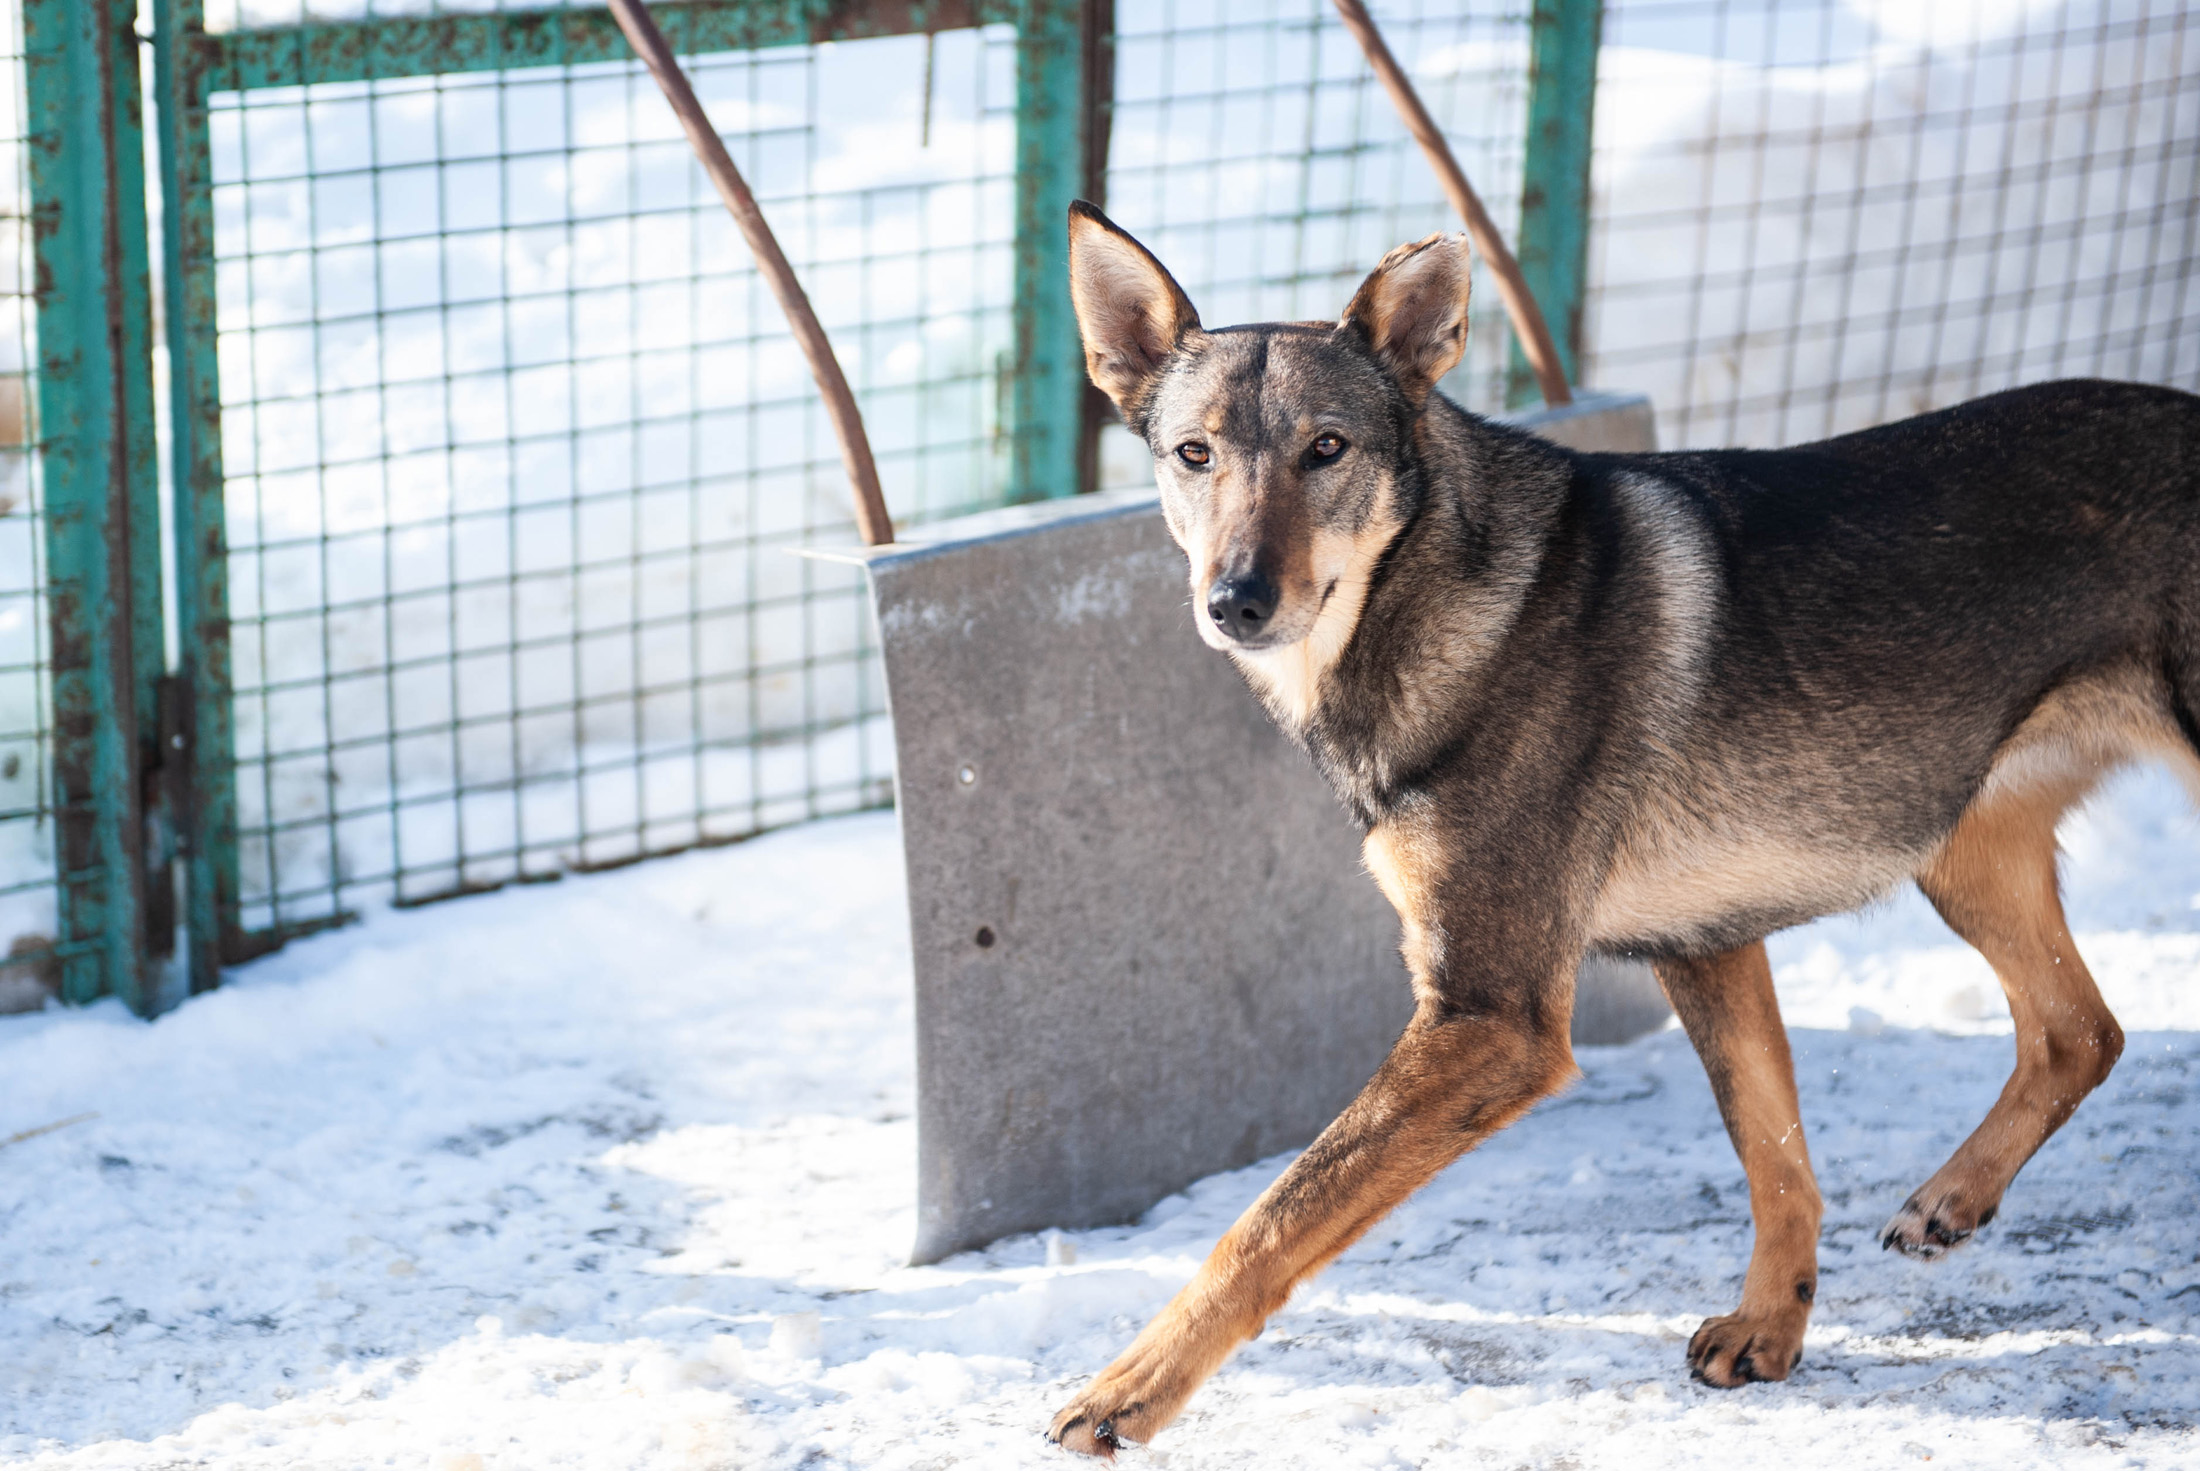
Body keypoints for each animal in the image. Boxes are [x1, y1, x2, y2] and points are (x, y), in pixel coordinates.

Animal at [1042, 201, 2200, 1451]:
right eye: (1192, 455)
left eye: (1327, 449)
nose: (1235, 601)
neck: (1431, 593)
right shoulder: (1705, 945)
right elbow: (1776, 1161)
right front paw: (1771, 1329)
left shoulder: (1490, 1020)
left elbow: (1264, 1222)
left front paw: (1127, 1390)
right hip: (1960, 854)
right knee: (2081, 1031)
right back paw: (1953, 1196)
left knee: (2078, 1028)